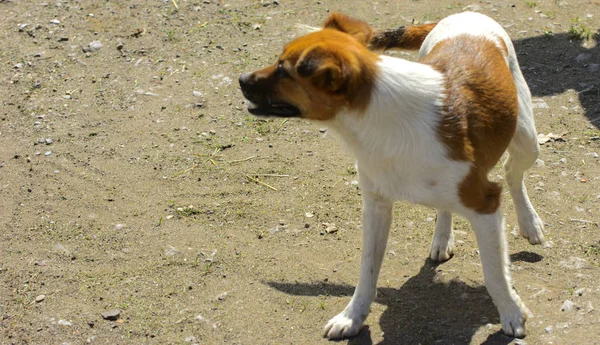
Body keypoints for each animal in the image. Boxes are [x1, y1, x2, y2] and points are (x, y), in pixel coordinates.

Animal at [238, 11, 544, 338]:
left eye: (283, 70)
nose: (241, 79)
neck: (381, 122)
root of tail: (465, 12)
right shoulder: (376, 205)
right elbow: (367, 272)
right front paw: (352, 317)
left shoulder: (485, 204)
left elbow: (495, 274)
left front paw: (511, 313)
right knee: (448, 205)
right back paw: (442, 238)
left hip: (527, 139)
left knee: (512, 173)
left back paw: (530, 223)